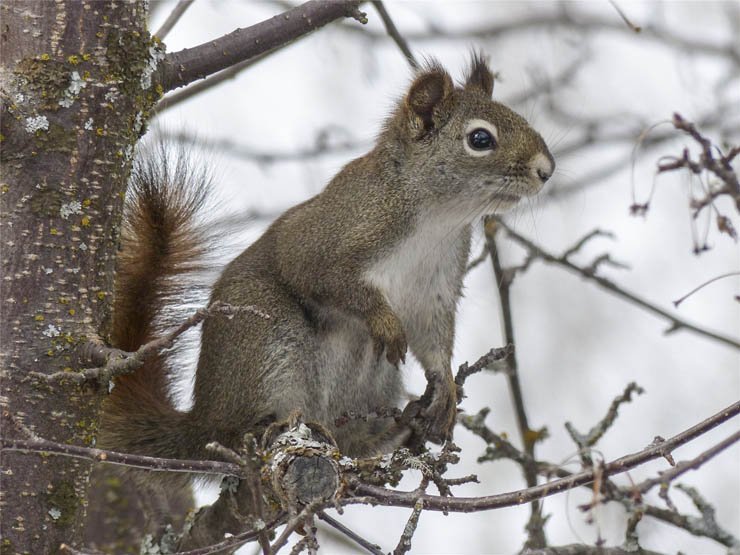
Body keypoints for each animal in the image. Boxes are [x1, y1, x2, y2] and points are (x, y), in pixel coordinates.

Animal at [99, 54, 554, 469]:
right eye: (480, 139)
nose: (546, 170)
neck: (438, 218)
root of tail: (201, 422)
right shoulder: (327, 237)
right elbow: (325, 279)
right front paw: (384, 320)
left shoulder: (437, 285)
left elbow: (433, 336)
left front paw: (445, 389)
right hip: (266, 340)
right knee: (242, 428)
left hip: (373, 381)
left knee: (352, 440)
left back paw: (393, 431)